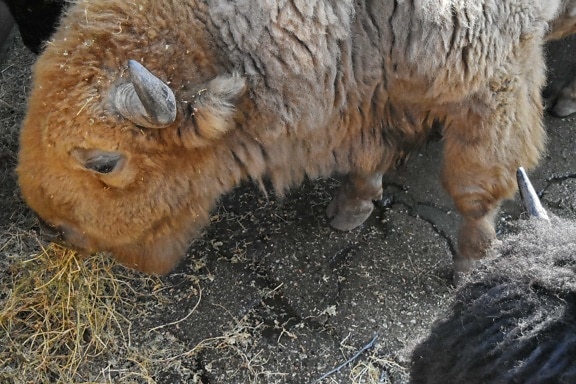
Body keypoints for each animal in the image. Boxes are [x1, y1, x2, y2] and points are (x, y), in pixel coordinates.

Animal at [12, 0, 572, 276]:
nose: (52, 225)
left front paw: (471, 265)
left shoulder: (495, 77)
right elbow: (369, 154)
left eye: (104, 161)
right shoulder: (373, 85)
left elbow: (473, 186)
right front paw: (351, 208)